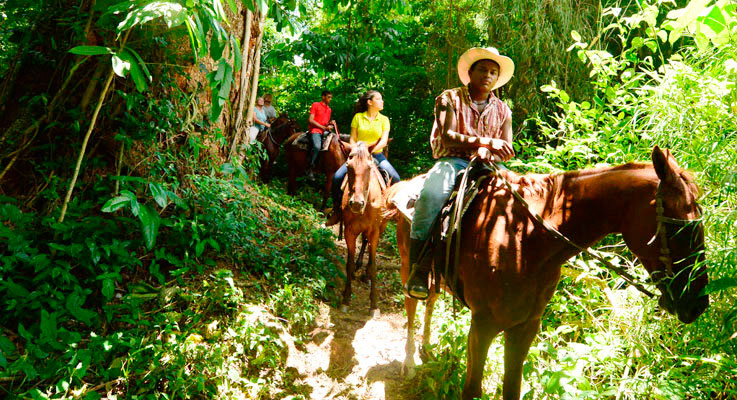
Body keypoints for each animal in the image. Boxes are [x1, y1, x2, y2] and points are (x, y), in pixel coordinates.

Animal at [336, 141, 388, 316]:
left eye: (369, 167)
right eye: (348, 166)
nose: (357, 204)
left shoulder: (375, 231)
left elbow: (373, 265)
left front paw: (374, 304)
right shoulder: (349, 232)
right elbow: (349, 264)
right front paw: (346, 298)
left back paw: (365, 274)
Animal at [386, 147, 708, 400]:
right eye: (681, 229)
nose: (697, 305)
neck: (526, 239)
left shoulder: (525, 326)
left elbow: (511, 389)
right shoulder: (483, 325)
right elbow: (472, 390)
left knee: (430, 302)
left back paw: (427, 349)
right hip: (408, 265)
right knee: (413, 304)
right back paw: (410, 362)